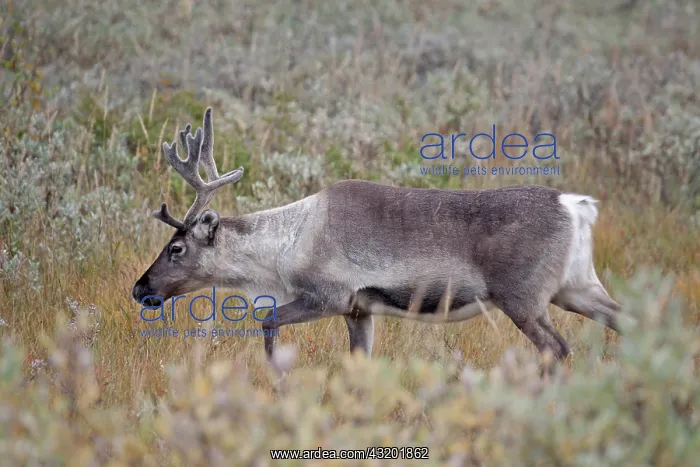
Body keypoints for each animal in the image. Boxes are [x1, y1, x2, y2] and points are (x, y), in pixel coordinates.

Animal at [132, 107, 622, 367]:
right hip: (577, 287)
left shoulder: (328, 296)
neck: (286, 247)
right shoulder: (359, 311)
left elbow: (267, 320)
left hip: (523, 298)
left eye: (176, 248)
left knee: (557, 349)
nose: (140, 289)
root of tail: (576, 205)